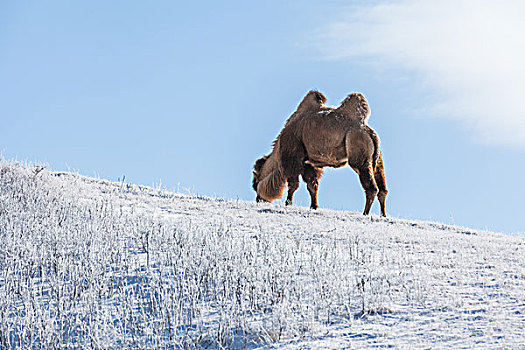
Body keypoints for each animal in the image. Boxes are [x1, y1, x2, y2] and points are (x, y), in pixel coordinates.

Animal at [252, 90, 386, 216]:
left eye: (255, 184)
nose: (258, 200)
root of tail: (368, 131)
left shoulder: (293, 158)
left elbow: (293, 185)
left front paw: (287, 204)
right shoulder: (309, 162)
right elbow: (312, 185)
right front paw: (314, 207)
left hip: (359, 151)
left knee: (372, 188)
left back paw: (365, 213)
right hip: (376, 157)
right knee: (382, 188)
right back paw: (383, 215)